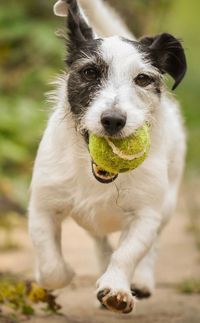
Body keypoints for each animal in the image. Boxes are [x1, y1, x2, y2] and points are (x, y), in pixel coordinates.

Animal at [28, 0, 187, 314]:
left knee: (152, 245)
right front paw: (57, 274)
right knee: (100, 240)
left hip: (168, 203)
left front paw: (116, 289)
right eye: (90, 72)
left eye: (143, 79)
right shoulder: (42, 207)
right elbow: (51, 266)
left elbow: (128, 253)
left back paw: (141, 281)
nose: (113, 120)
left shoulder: (145, 216)